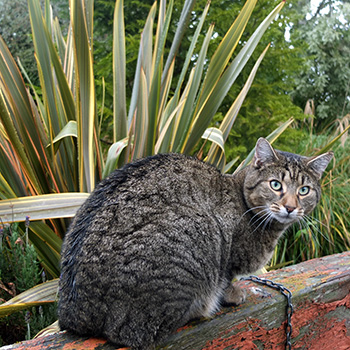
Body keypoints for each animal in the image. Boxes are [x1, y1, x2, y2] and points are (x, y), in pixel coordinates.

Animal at [58, 138, 334, 348]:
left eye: (304, 190)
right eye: (275, 185)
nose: (290, 207)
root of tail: (73, 313)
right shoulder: (227, 254)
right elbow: (226, 277)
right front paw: (233, 294)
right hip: (198, 230)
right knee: (134, 331)